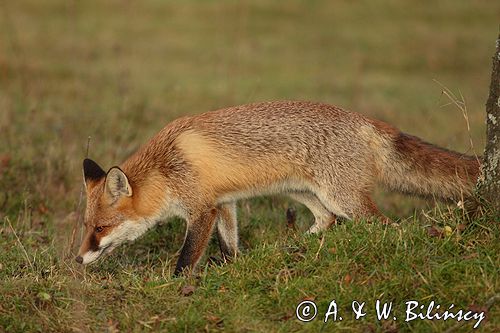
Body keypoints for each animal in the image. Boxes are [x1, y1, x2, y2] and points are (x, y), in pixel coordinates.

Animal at [75, 100, 480, 272]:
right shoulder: (224, 203)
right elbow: (229, 245)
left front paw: (179, 287)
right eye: (87, 227)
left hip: (343, 197)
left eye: (101, 228)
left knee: (388, 227)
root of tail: (367, 121)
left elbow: (186, 257)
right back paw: (289, 248)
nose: (77, 259)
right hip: (301, 192)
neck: (165, 167)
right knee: (326, 220)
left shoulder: (202, 209)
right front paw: (233, 268)